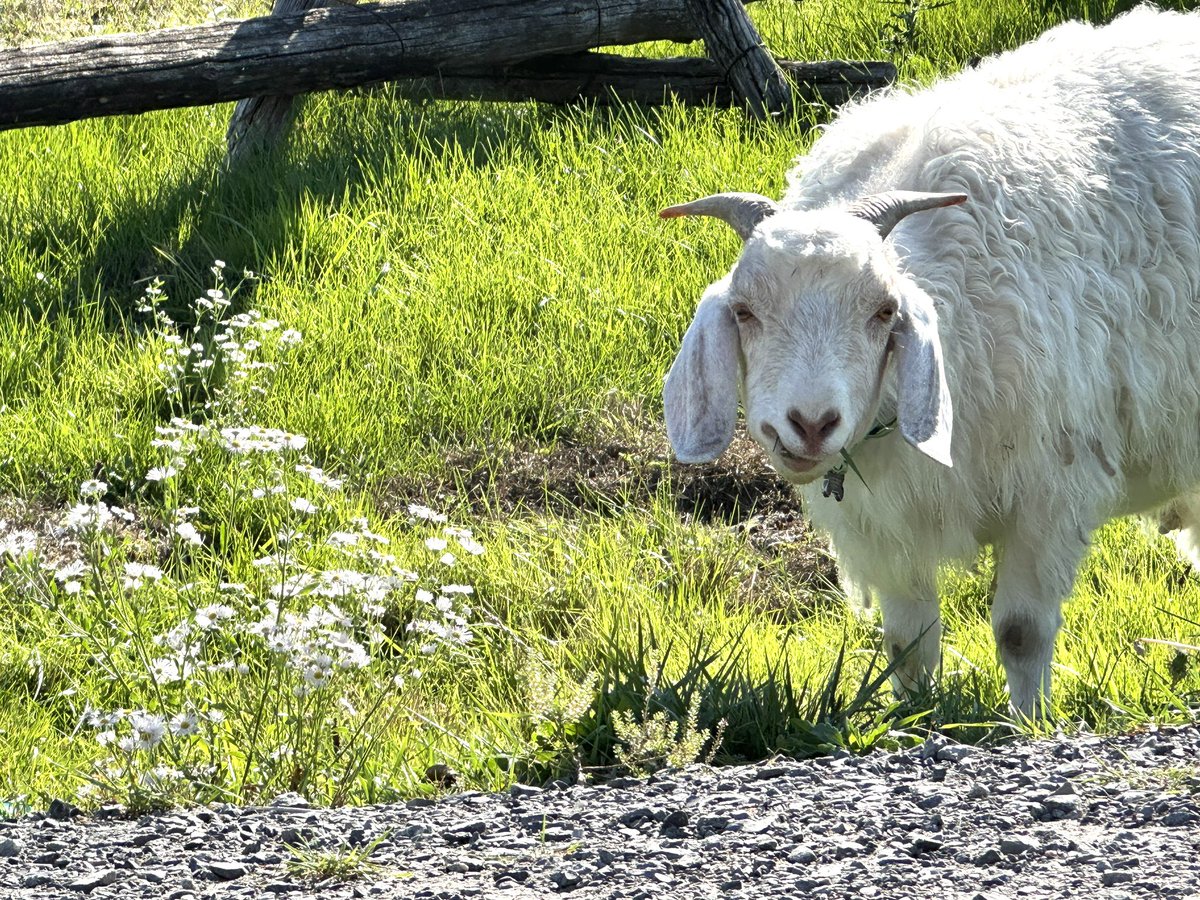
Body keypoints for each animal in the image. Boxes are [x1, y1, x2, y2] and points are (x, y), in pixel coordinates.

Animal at [660, 6, 1200, 717]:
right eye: (745, 312)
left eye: (884, 311)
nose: (810, 424)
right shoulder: (883, 525)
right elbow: (907, 644)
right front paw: (914, 722)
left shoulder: (1050, 489)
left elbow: (1020, 631)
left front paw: (1029, 724)